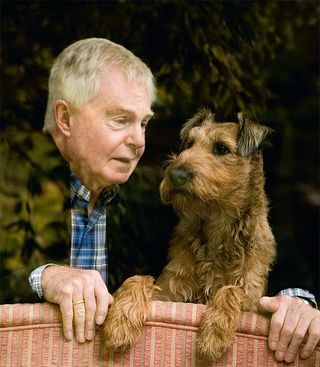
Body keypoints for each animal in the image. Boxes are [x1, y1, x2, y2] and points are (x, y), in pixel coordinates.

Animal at [104, 110, 276, 362]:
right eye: (190, 143)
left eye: (221, 148)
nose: (175, 175)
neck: (216, 226)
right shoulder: (170, 291)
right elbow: (139, 278)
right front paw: (120, 322)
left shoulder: (253, 298)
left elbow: (230, 290)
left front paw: (214, 334)